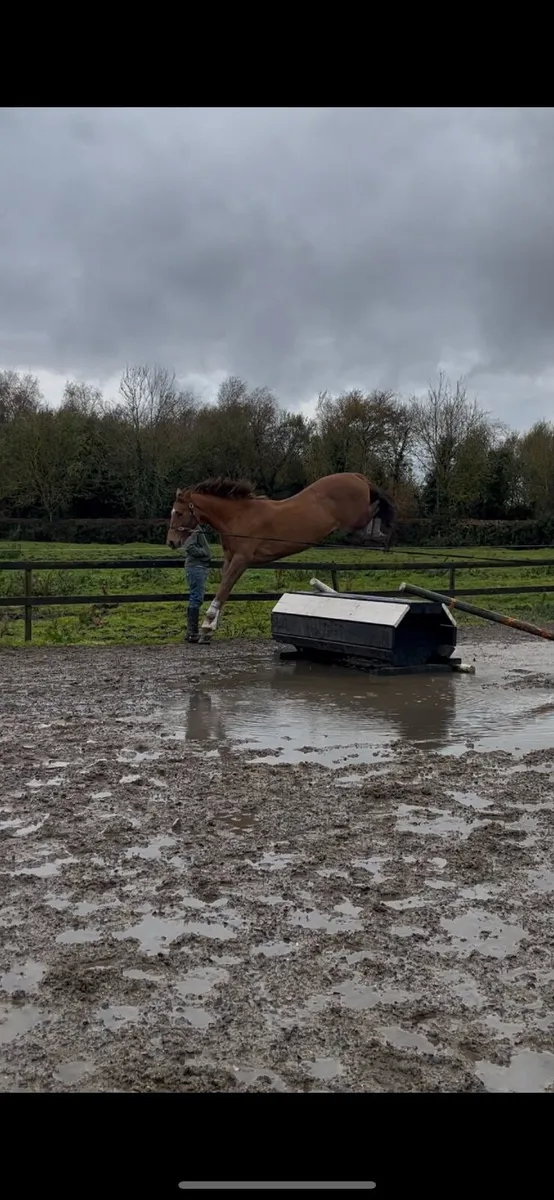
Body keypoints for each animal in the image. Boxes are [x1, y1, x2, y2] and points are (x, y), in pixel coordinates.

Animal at [166, 471, 396, 640]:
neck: (238, 517)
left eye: (179, 513)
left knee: (373, 512)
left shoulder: (242, 559)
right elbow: (224, 588)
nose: (171, 542)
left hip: (355, 517)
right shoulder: (230, 559)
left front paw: (207, 624)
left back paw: (380, 534)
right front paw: (210, 627)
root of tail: (355, 476)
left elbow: (224, 587)